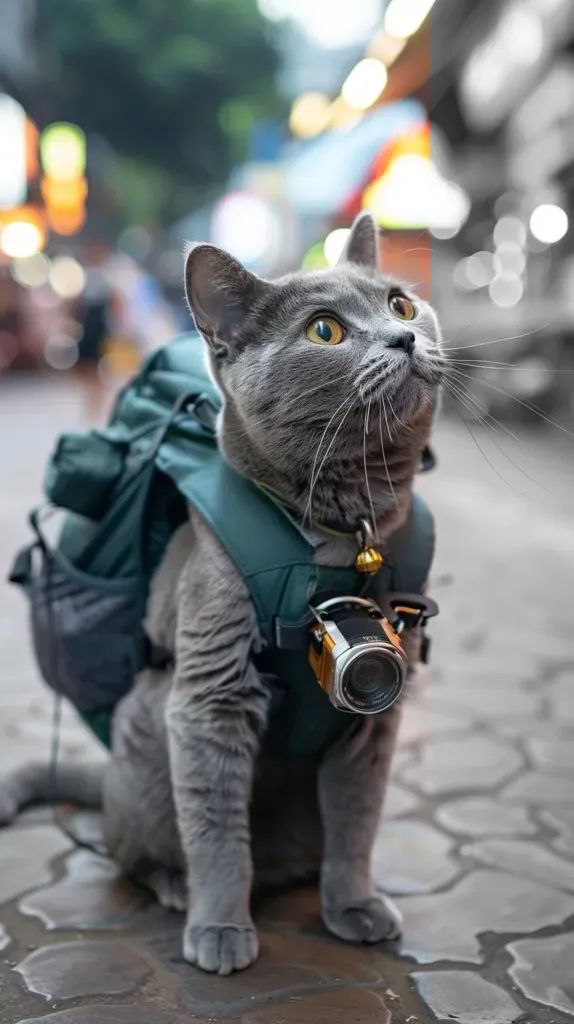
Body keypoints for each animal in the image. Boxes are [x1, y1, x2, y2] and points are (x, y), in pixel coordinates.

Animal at [1, 209, 444, 974]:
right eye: (324, 330)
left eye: (401, 304)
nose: (404, 336)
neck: (345, 531)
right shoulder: (210, 697)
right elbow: (214, 828)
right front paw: (219, 926)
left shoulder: (373, 720)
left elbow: (357, 821)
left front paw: (355, 904)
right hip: (146, 733)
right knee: (135, 852)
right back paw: (179, 887)